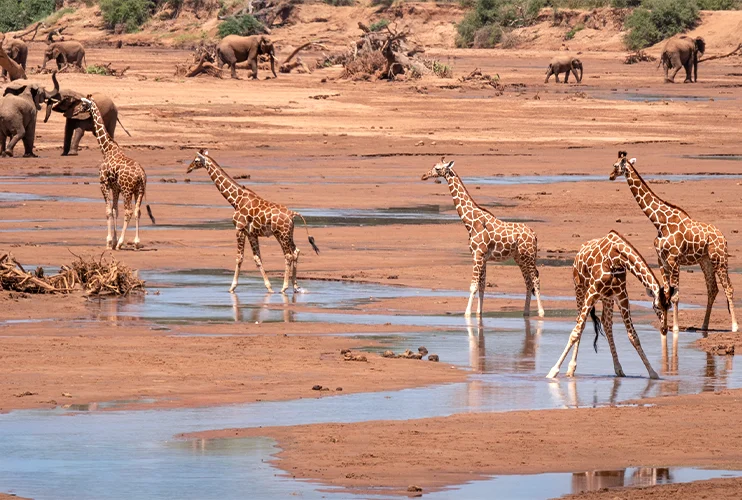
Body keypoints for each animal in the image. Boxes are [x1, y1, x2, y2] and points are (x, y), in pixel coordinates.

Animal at [80, 96, 154, 250]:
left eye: (82, 104)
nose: (77, 110)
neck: (106, 149)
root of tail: (141, 174)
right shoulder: (115, 188)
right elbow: (115, 210)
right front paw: (113, 240)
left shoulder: (103, 183)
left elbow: (108, 211)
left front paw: (109, 242)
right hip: (139, 190)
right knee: (137, 211)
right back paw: (136, 242)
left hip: (127, 190)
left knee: (129, 211)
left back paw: (121, 243)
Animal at [186, 150, 319, 293]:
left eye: (196, 160)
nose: (188, 168)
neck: (236, 200)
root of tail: (292, 214)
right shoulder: (251, 234)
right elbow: (257, 258)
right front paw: (269, 287)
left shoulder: (239, 229)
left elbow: (239, 258)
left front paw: (232, 287)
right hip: (287, 234)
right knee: (296, 251)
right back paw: (295, 286)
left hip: (282, 234)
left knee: (288, 255)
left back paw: (284, 287)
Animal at [422, 159, 544, 318]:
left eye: (437, 168)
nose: (424, 175)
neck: (470, 223)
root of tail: (534, 234)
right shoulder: (482, 257)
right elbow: (482, 286)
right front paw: (479, 313)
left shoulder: (478, 255)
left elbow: (473, 286)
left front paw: (467, 313)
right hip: (519, 257)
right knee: (528, 281)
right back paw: (525, 312)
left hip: (528, 256)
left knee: (535, 279)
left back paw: (541, 312)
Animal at [546, 231, 673, 379]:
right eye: (657, 307)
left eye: (669, 307)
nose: (664, 329)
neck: (616, 258)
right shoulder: (592, 291)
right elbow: (576, 332)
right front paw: (553, 371)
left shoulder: (622, 295)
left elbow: (633, 336)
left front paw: (652, 372)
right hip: (579, 289)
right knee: (580, 323)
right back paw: (571, 368)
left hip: (607, 298)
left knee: (606, 323)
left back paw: (618, 368)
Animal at [610, 150, 738, 334]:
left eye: (615, 165)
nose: (611, 176)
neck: (659, 222)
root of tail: (723, 237)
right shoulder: (662, 260)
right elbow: (666, 293)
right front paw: (666, 326)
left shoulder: (674, 259)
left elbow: (676, 296)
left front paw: (676, 327)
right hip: (705, 261)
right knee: (712, 289)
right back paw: (704, 326)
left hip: (719, 259)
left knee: (728, 288)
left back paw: (734, 326)